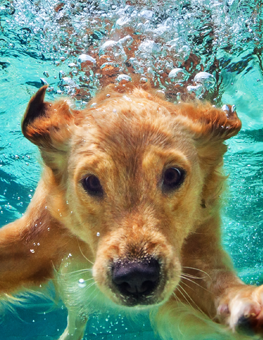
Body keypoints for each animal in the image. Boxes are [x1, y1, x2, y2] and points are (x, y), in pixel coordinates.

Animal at [0, 80, 262, 340]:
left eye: (172, 175)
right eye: (91, 182)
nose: (136, 277)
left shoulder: (198, 251)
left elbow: (221, 287)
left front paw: (248, 304)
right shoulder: (39, 235)